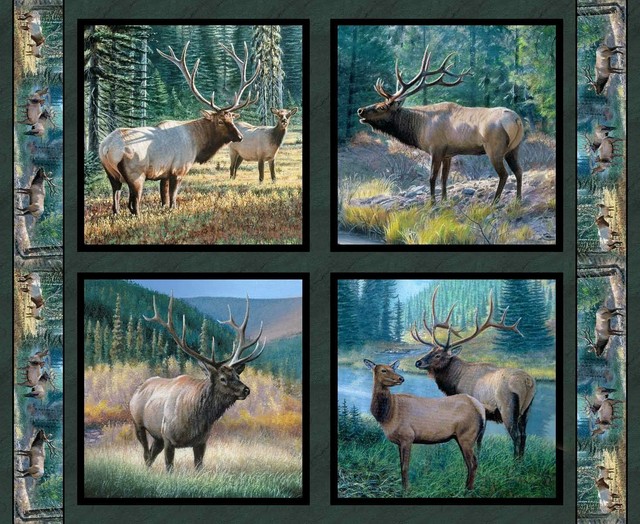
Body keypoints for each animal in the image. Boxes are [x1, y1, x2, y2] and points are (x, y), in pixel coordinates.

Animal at [99, 41, 260, 215]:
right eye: (220, 121)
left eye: (231, 119)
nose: (239, 137)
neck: (197, 143)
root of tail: (107, 148)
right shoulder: (178, 169)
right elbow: (173, 197)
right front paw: (173, 210)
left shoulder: (164, 174)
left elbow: (164, 197)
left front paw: (163, 209)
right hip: (136, 173)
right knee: (134, 203)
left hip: (111, 175)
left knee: (115, 200)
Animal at [130, 293, 265, 472]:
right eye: (222, 379)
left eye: (237, 375)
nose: (246, 390)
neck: (196, 420)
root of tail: (137, 389)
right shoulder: (168, 438)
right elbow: (169, 468)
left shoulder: (201, 442)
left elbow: (199, 467)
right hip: (139, 424)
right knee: (146, 454)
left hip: (157, 436)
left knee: (151, 455)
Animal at [357, 46, 524, 204]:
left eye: (381, 107)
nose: (360, 110)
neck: (420, 128)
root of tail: (516, 119)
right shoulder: (448, 154)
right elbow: (444, 178)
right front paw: (444, 200)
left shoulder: (436, 149)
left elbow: (432, 178)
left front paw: (432, 202)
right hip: (514, 149)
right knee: (518, 171)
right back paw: (517, 200)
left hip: (494, 148)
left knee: (504, 174)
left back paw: (494, 202)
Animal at [364, 359, 485, 491]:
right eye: (383, 370)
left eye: (393, 369)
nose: (401, 378)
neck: (388, 415)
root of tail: (481, 408)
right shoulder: (400, 441)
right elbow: (401, 466)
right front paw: (403, 487)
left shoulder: (408, 436)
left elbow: (405, 467)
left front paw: (406, 489)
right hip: (461, 437)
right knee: (470, 463)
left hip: (467, 435)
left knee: (473, 463)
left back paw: (468, 490)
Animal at [412, 287, 535, 458]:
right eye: (430, 350)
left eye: (438, 355)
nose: (418, 362)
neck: (456, 382)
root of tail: (528, 382)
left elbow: (478, 438)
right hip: (527, 410)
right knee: (524, 435)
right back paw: (520, 460)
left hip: (508, 407)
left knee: (516, 436)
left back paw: (514, 460)